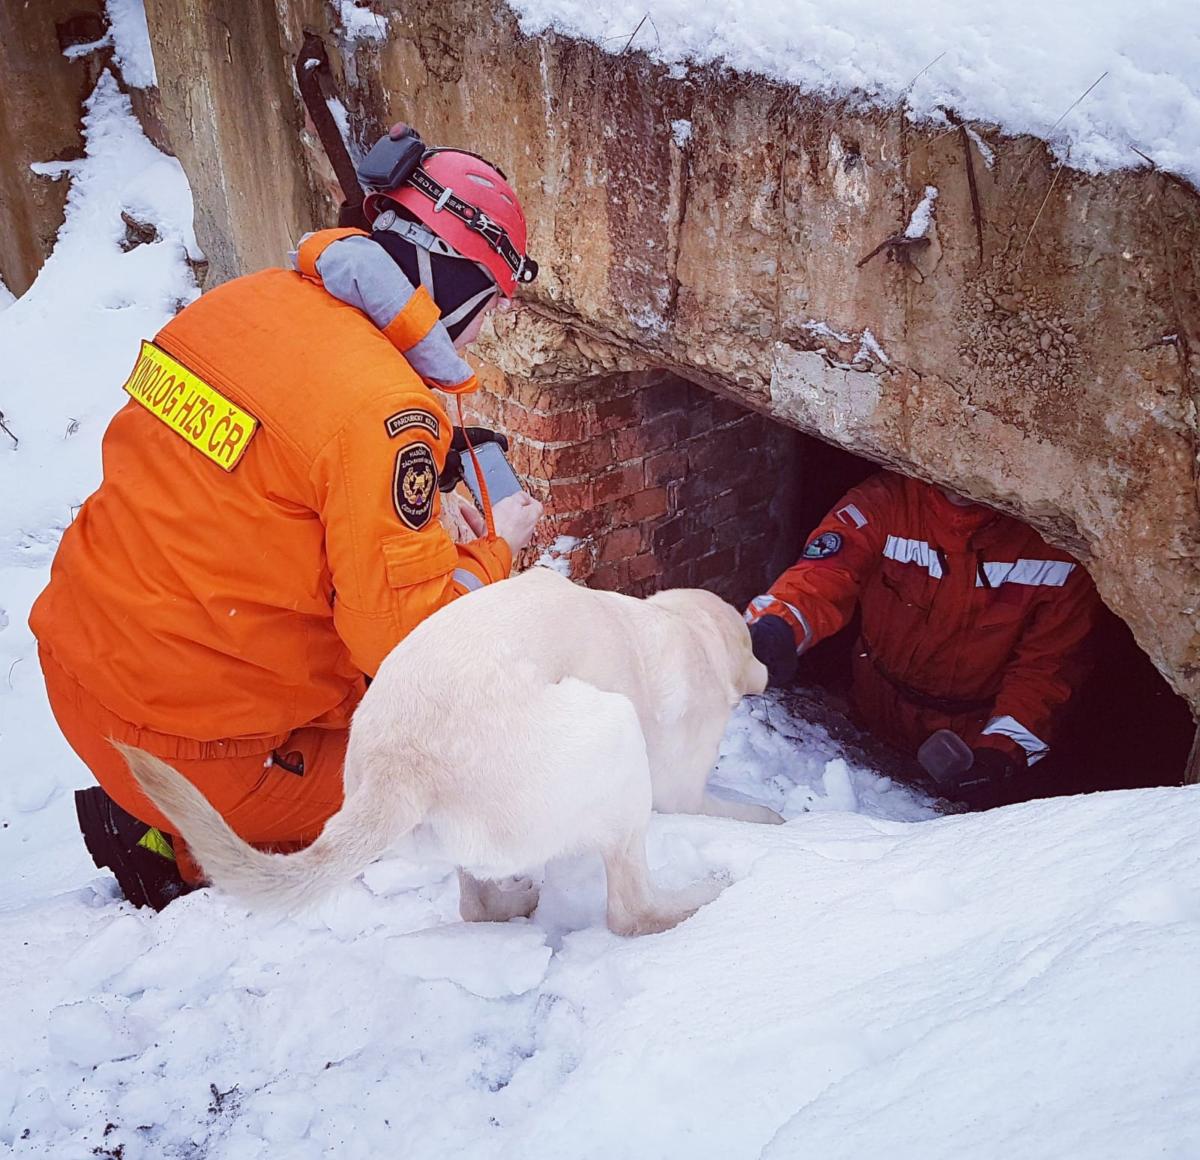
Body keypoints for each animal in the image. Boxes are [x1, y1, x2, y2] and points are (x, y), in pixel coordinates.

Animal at [121, 566, 777, 940]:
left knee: (474, 904)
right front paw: (776, 820)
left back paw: (514, 899)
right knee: (629, 912)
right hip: (613, 731)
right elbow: (743, 810)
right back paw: (704, 896)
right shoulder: (682, 791)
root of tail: (399, 765)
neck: (679, 626)